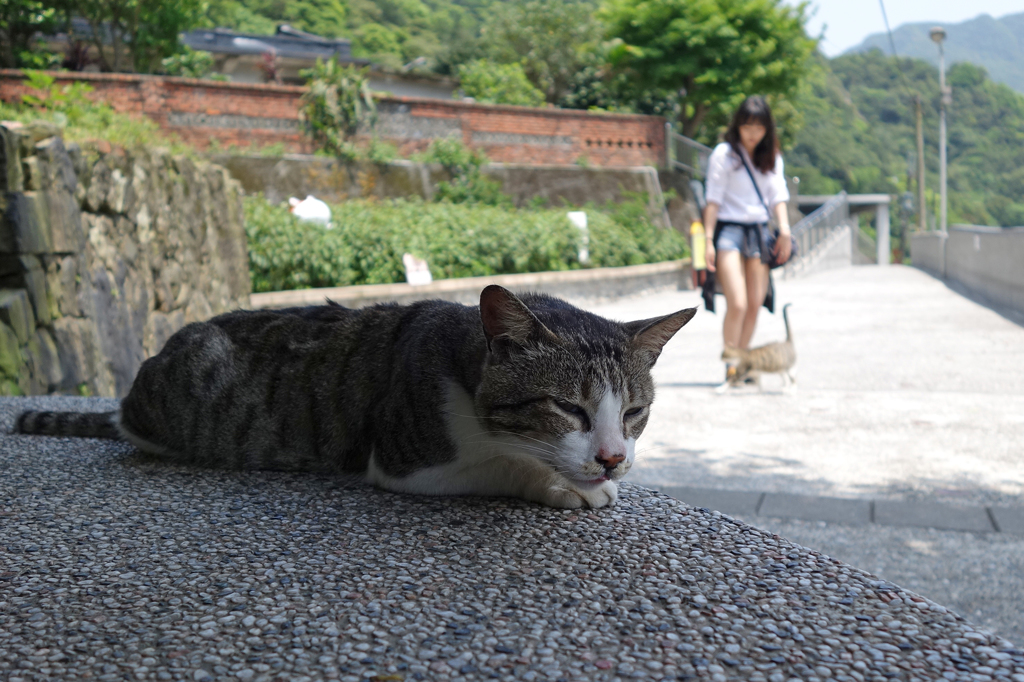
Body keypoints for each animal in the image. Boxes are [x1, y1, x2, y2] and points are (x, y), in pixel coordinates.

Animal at [14, 284, 696, 507]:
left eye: (634, 412)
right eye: (568, 408)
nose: (613, 457)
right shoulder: (404, 458)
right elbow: (502, 466)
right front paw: (561, 485)